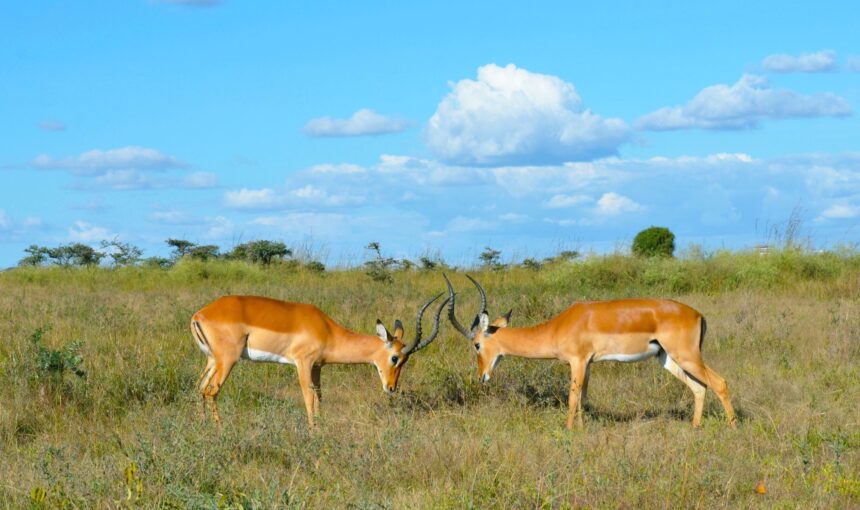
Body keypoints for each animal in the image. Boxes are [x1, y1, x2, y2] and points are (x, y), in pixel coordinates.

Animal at [190, 293, 448, 427]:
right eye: (395, 358)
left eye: (405, 361)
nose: (392, 388)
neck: (328, 330)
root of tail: (199, 314)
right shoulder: (303, 363)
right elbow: (308, 397)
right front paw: (313, 433)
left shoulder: (317, 367)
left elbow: (320, 398)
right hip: (228, 360)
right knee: (211, 391)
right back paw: (220, 430)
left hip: (212, 360)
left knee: (199, 388)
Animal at [444, 274, 736, 430]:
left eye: (476, 344)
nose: (482, 376)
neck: (557, 326)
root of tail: (697, 314)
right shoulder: (589, 364)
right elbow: (583, 398)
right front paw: (582, 431)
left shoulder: (577, 361)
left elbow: (572, 398)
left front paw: (568, 431)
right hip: (668, 358)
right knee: (699, 387)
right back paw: (695, 427)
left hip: (687, 355)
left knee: (719, 382)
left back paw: (733, 427)